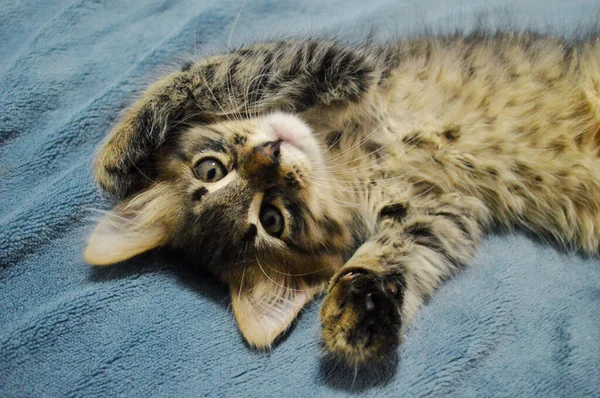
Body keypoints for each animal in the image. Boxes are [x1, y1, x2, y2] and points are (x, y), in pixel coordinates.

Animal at [84, 32, 600, 366]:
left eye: (210, 169)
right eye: (273, 219)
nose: (271, 154)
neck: (341, 156)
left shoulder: (344, 63)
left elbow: (223, 68)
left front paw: (119, 152)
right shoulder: (437, 207)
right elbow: (404, 252)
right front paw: (357, 312)